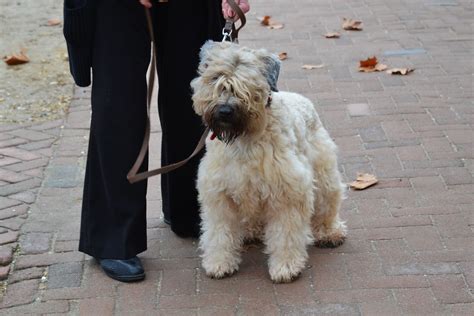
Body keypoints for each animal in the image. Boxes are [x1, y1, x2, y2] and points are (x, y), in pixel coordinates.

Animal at [191, 41, 346, 282]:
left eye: (248, 83)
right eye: (215, 78)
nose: (225, 111)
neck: (245, 140)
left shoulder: (288, 192)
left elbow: (286, 234)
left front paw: (286, 266)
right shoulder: (219, 194)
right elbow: (219, 233)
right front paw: (219, 263)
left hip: (324, 175)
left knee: (327, 205)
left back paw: (330, 233)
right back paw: (251, 232)